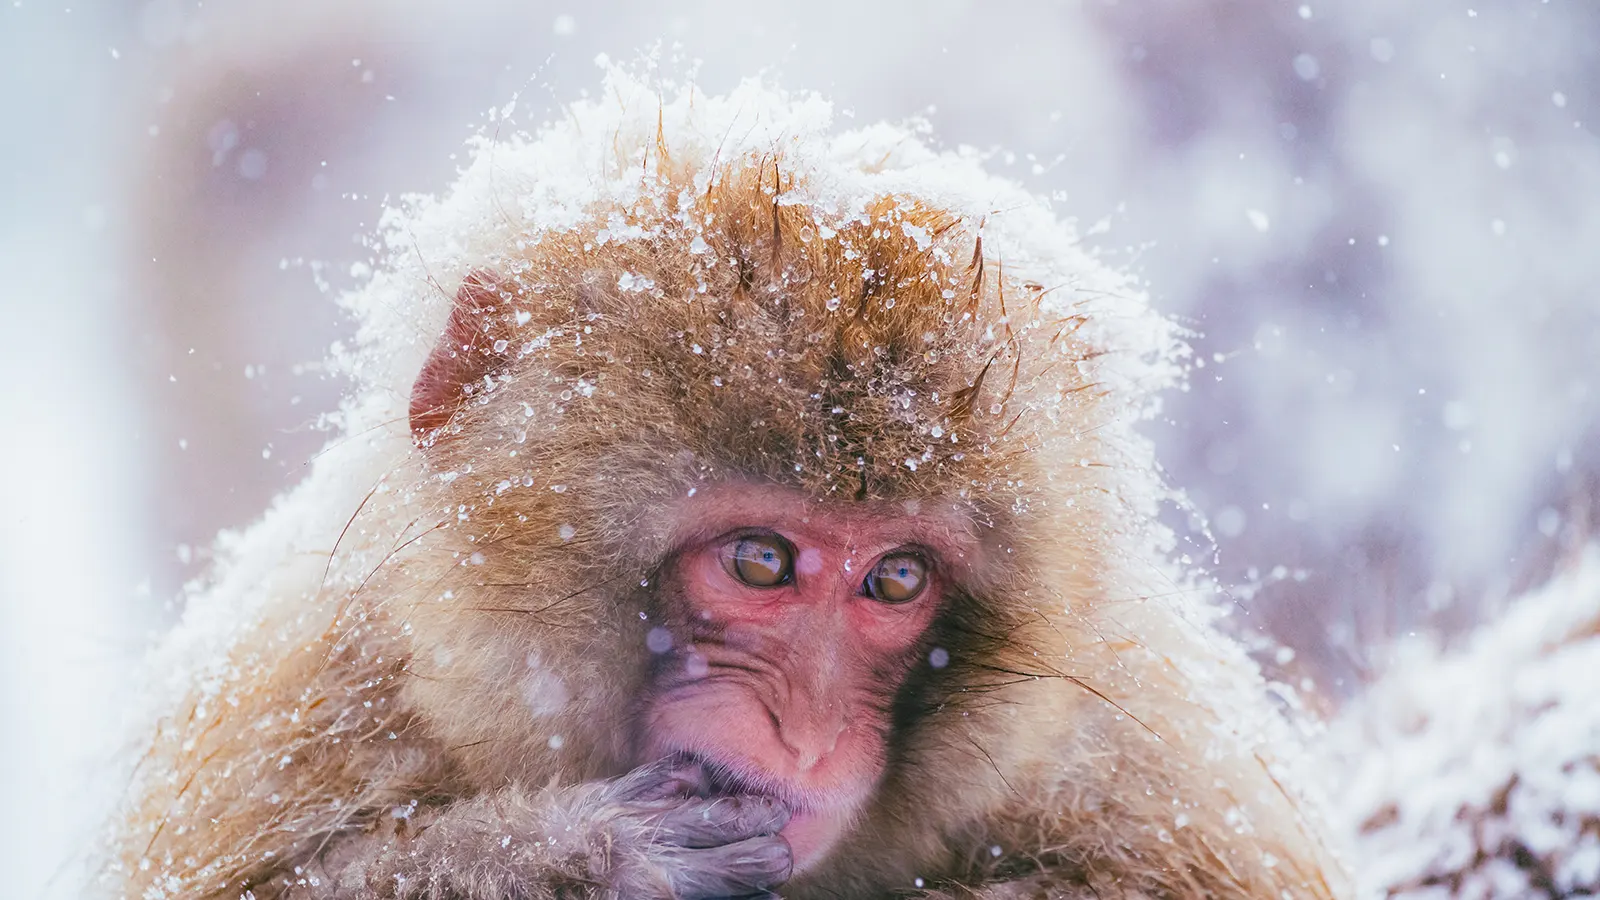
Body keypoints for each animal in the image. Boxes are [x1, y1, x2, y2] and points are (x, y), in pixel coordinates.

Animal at [104, 72, 1349, 900]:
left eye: (895, 580)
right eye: (762, 561)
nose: (805, 737)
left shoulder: (1137, 746)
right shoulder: (303, 691)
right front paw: (597, 859)